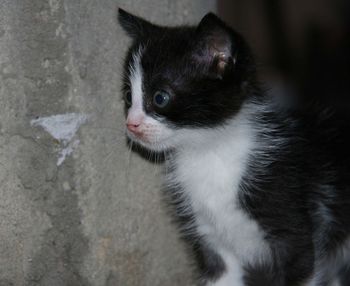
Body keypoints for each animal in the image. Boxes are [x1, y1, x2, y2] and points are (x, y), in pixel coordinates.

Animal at [118, 8, 350, 286]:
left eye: (160, 97)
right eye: (128, 97)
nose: (131, 125)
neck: (210, 152)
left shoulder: (296, 234)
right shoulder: (210, 237)